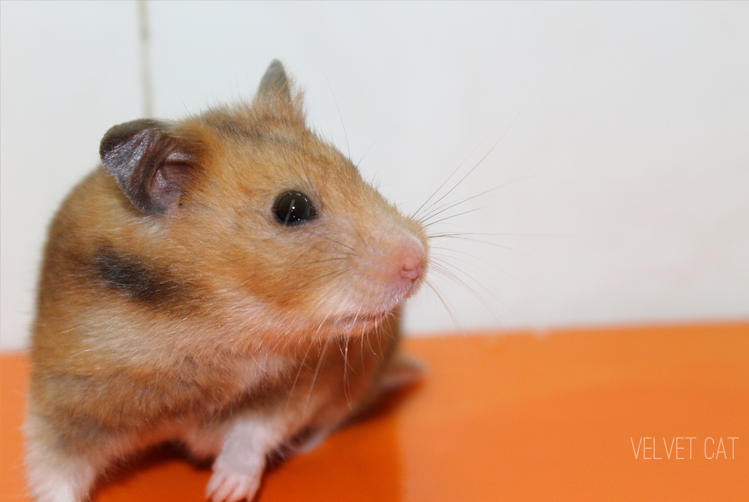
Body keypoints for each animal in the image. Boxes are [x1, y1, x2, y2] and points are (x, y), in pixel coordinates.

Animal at [25, 60, 427, 502]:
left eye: (353, 171)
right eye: (292, 208)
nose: (419, 260)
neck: (204, 327)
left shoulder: (297, 386)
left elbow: (252, 433)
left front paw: (224, 491)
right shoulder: (64, 400)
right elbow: (54, 471)